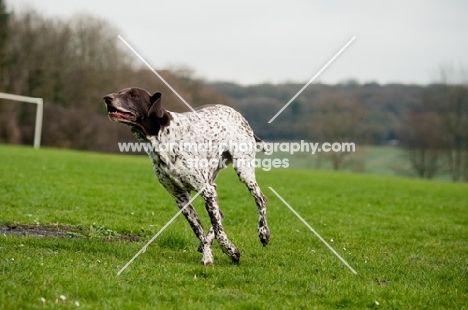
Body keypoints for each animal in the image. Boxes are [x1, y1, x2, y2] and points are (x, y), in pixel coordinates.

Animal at [102, 87, 270, 264]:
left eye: (133, 94)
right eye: (120, 91)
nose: (106, 98)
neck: (163, 137)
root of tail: (240, 116)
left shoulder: (206, 191)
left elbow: (218, 229)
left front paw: (230, 250)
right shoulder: (180, 198)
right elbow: (199, 230)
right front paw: (207, 255)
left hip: (243, 170)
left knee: (260, 199)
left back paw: (263, 233)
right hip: (212, 181)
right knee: (219, 214)